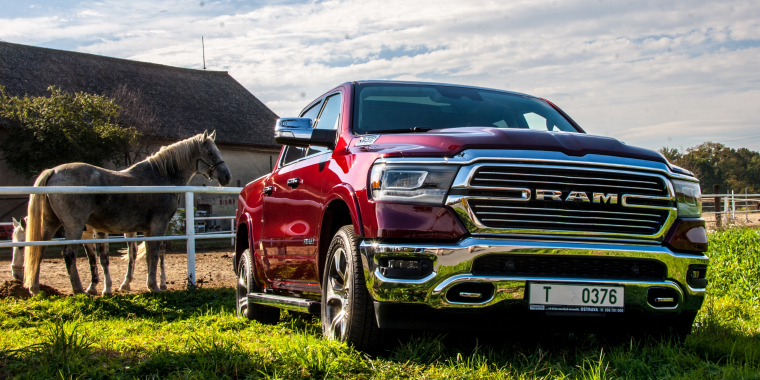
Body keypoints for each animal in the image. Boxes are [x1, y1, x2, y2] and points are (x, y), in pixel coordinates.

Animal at [24, 131, 232, 294]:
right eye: (210, 152)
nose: (226, 176)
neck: (161, 176)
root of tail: (53, 171)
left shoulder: (145, 229)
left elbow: (144, 254)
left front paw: (139, 284)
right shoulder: (158, 225)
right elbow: (153, 253)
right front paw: (153, 285)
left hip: (51, 223)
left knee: (38, 249)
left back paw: (35, 288)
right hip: (74, 226)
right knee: (68, 253)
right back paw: (79, 290)